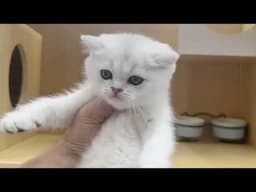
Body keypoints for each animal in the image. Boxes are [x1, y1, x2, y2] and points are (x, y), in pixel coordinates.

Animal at [0, 33, 180, 168]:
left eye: (136, 80)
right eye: (105, 74)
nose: (116, 89)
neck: (122, 112)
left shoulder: (158, 120)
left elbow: (157, 146)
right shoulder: (80, 104)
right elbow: (51, 107)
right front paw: (16, 120)